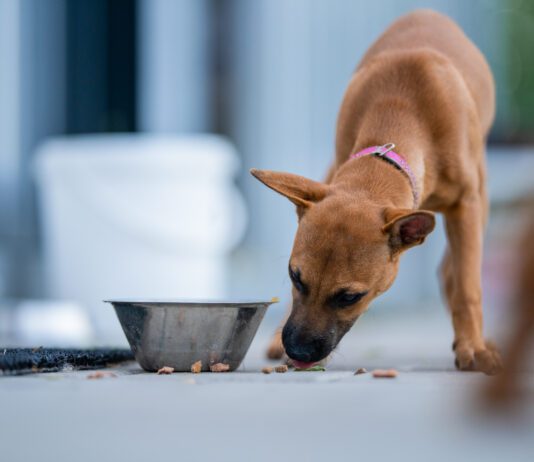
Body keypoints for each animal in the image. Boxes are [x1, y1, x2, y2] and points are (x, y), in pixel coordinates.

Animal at [253, 9, 504, 374]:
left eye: (349, 297)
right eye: (294, 276)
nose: (298, 351)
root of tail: (427, 11)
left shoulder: (466, 204)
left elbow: (468, 287)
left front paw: (473, 346)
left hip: (480, 197)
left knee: (455, 270)